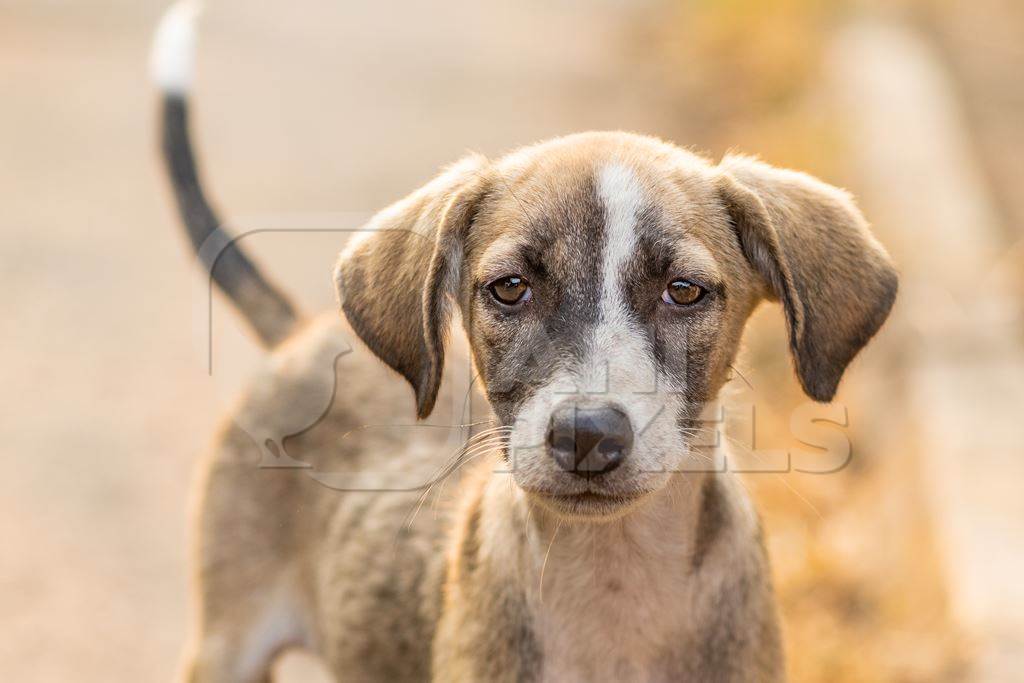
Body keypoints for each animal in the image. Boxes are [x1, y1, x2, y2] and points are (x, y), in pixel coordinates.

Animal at [151, 6, 897, 683]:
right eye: (510, 287)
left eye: (683, 290)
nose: (587, 433)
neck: (612, 586)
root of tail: (302, 329)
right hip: (226, 643)